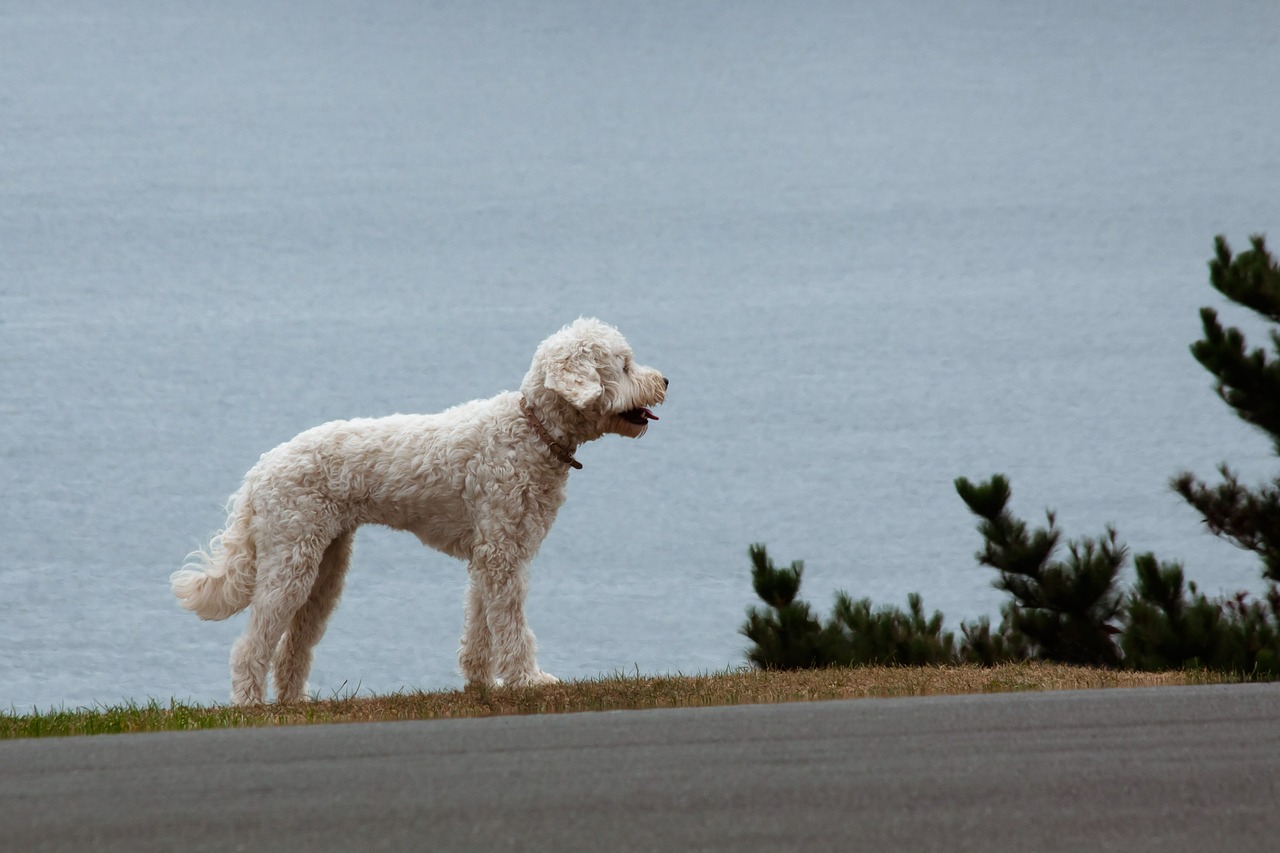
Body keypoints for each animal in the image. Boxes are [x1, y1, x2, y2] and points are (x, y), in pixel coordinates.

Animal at [174, 315, 670, 701]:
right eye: (624, 365)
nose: (665, 381)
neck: (531, 430)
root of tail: (259, 471)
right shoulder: (503, 553)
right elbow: (511, 624)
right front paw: (528, 680)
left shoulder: (490, 554)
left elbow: (480, 623)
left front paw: (481, 683)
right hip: (289, 562)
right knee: (251, 647)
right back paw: (250, 705)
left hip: (325, 568)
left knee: (292, 647)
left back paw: (295, 704)